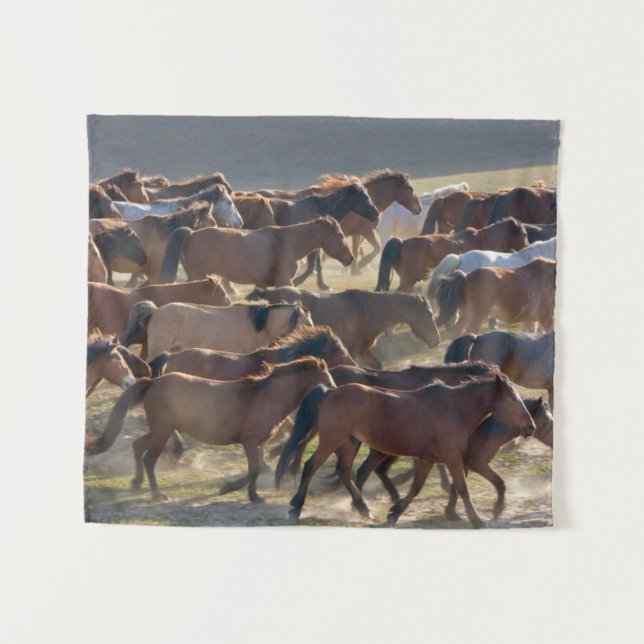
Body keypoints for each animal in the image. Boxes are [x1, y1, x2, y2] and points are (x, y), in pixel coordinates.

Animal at [85, 358, 336, 503]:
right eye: (326, 376)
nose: (333, 391)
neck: (266, 396)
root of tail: (153, 382)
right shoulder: (250, 441)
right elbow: (254, 469)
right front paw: (242, 493)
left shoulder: (257, 443)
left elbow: (256, 469)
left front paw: (242, 491)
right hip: (162, 431)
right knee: (148, 459)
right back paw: (158, 494)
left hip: (160, 430)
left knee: (137, 446)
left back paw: (136, 483)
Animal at [159, 217, 353, 288]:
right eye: (340, 234)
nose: (350, 258)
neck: (288, 241)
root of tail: (192, 234)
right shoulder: (285, 281)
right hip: (197, 276)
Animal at [247, 287, 440, 369]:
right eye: (429, 314)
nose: (436, 340)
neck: (367, 311)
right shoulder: (351, 350)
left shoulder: (363, 350)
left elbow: (377, 366)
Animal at [275, 373, 535, 528]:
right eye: (513, 399)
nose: (530, 426)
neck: (454, 409)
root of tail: (329, 391)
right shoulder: (452, 457)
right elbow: (462, 488)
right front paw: (478, 520)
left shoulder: (429, 459)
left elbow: (415, 488)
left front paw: (394, 513)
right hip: (332, 439)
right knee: (312, 465)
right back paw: (296, 507)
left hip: (348, 442)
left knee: (345, 472)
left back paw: (363, 509)